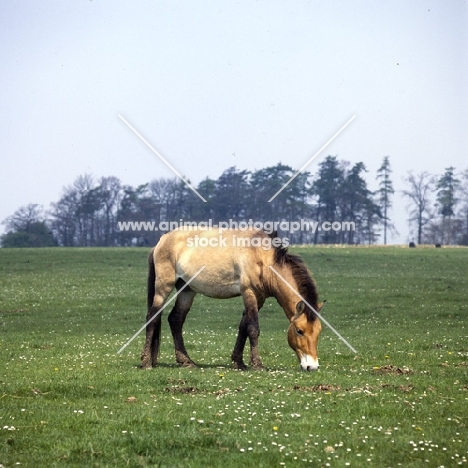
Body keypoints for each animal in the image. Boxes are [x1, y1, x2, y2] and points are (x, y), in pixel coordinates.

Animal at [141, 229, 324, 372]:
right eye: (299, 331)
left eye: (319, 331)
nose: (312, 367)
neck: (262, 257)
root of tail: (162, 241)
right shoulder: (248, 292)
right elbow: (253, 328)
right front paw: (257, 364)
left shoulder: (259, 298)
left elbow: (243, 327)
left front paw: (239, 362)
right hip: (164, 287)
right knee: (152, 318)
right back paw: (146, 362)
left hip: (186, 290)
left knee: (176, 319)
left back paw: (186, 361)